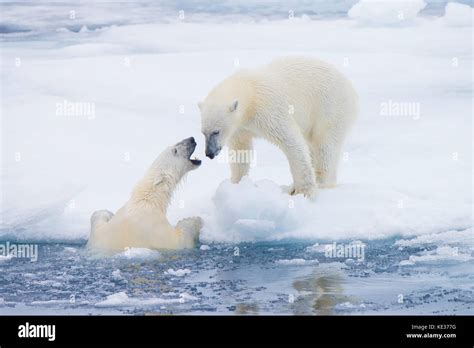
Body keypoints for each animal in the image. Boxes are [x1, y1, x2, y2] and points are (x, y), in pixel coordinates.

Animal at [198, 57, 358, 198]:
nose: (209, 153)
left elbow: (291, 141)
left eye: (216, 131)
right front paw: (236, 184)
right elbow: (241, 150)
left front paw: (305, 192)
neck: (249, 89)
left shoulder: (268, 109)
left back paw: (321, 182)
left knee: (324, 145)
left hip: (330, 107)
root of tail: (350, 86)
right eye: (203, 133)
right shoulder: (240, 127)